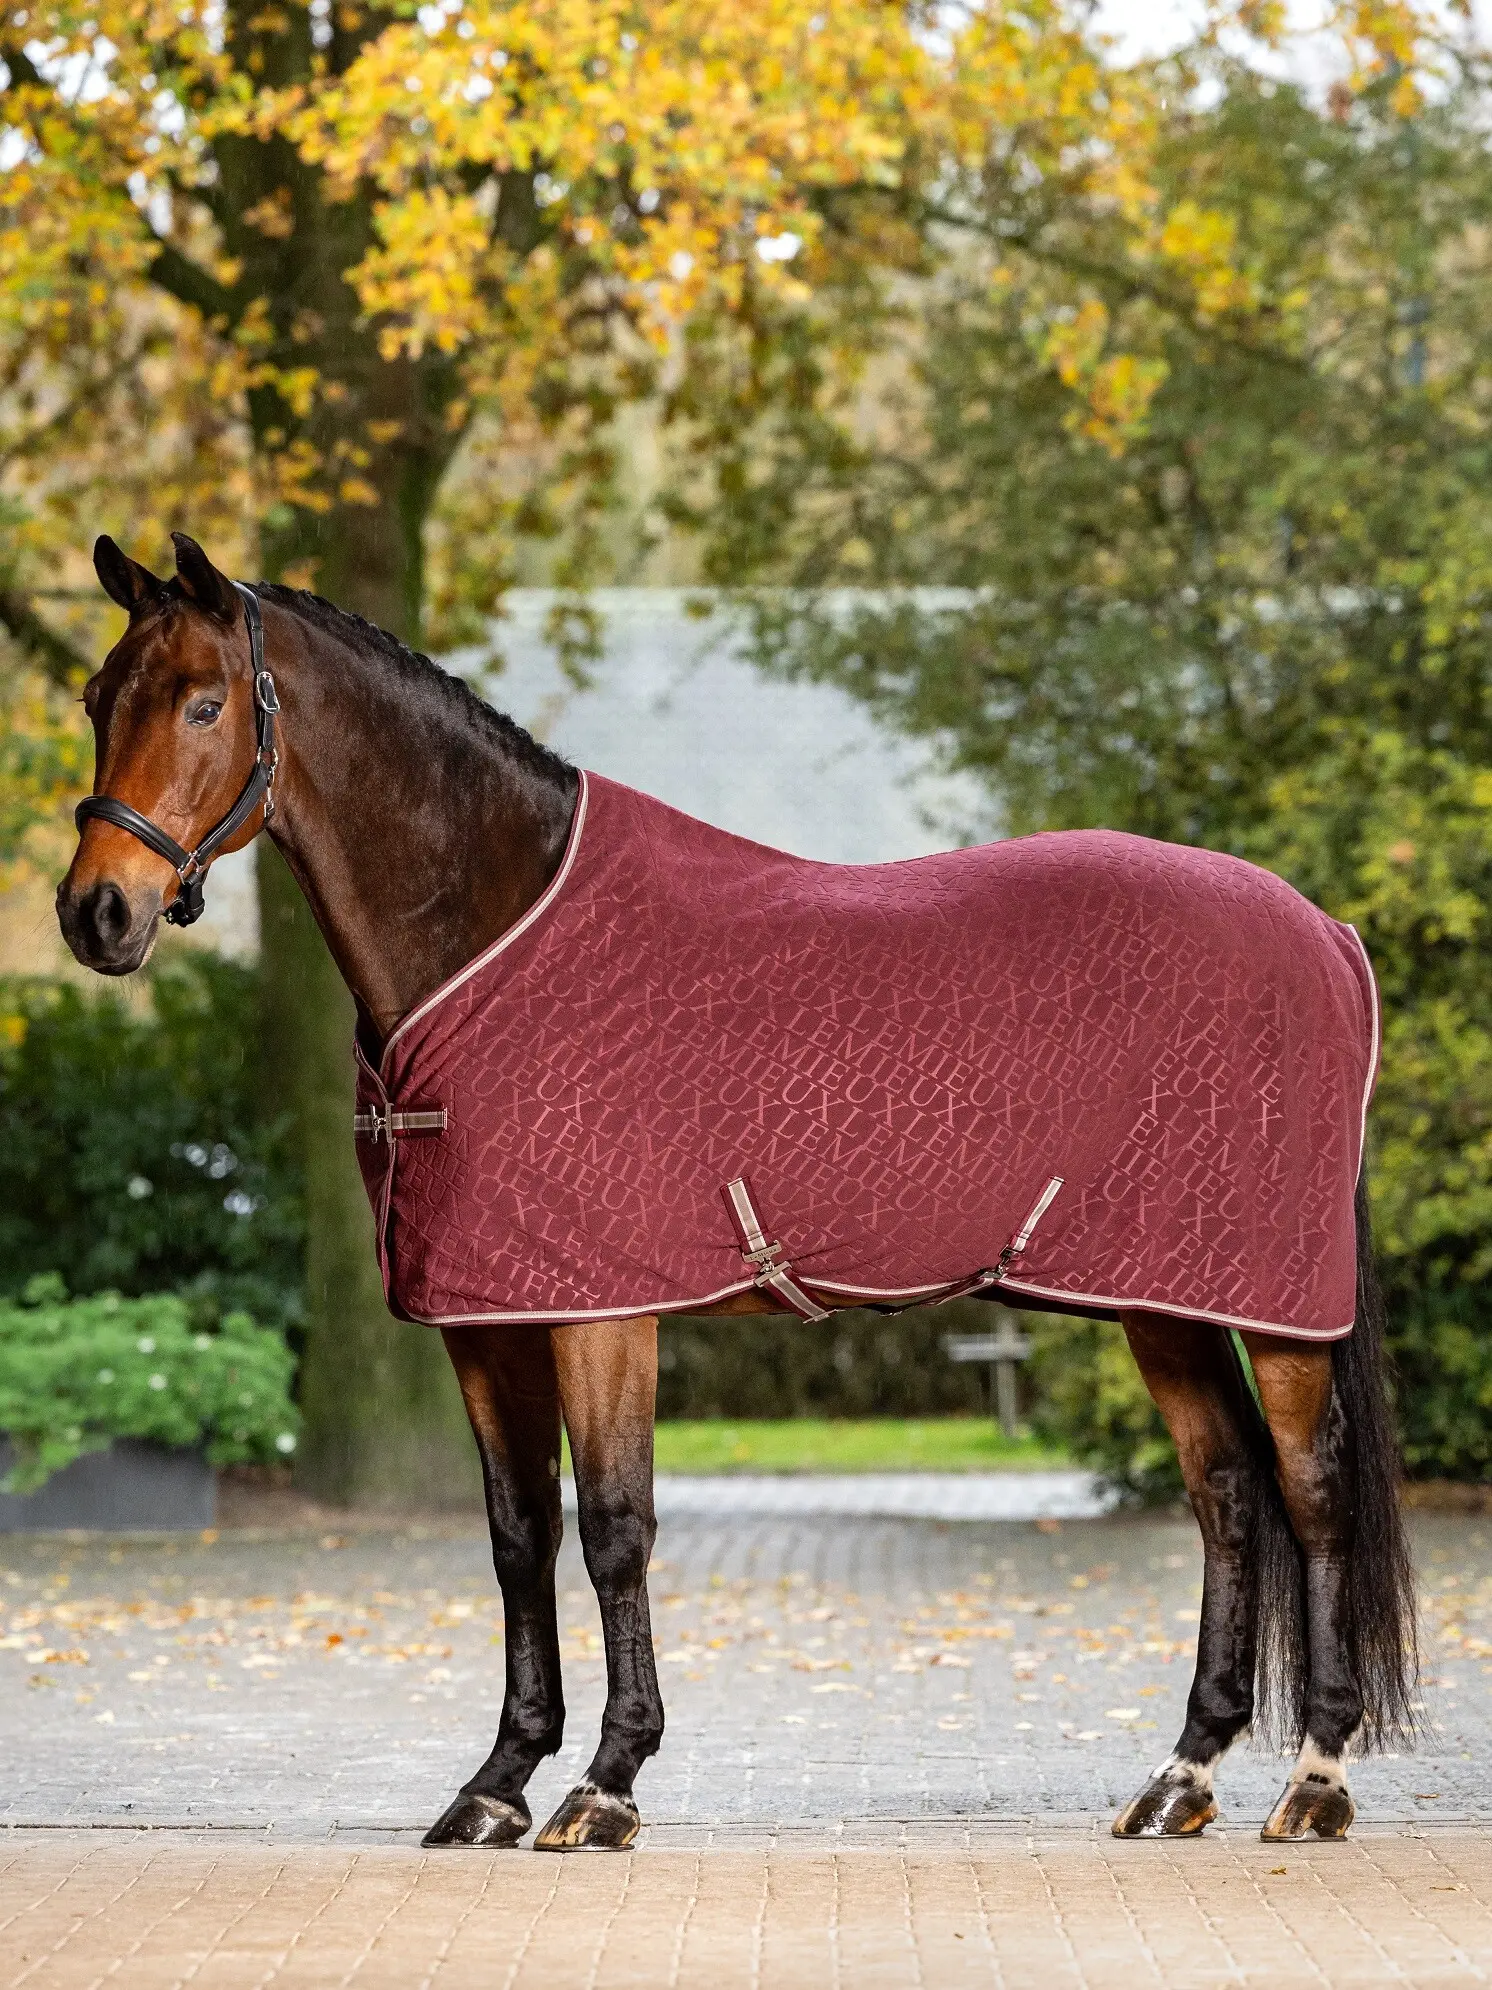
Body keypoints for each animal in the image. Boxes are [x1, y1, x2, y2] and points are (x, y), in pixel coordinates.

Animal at [57, 531, 1417, 1850]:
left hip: (1272, 1308)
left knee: (1310, 1493)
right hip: (1162, 1297)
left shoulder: (601, 1313)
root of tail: (1328, 933)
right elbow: (517, 1536)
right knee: (1227, 1494)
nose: (97, 912)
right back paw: (1181, 1775)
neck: (494, 932)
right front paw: (497, 1783)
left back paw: (1315, 1781)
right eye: (95, 696)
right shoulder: (491, 1320)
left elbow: (613, 1528)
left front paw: (605, 1784)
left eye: (204, 702)